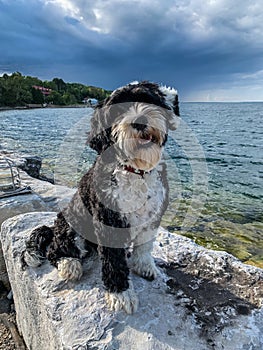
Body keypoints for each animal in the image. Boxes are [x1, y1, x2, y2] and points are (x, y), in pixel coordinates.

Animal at [21, 82, 180, 314]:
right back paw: (69, 264)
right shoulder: (109, 221)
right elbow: (114, 261)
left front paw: (144, 266)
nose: (139, 121)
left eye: (147, 99)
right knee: (55, 249)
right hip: (72, 225)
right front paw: (121, 294)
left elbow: (144, 246)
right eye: (118, 110)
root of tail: (53, 227)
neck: (135, 171)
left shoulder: (152, 216)